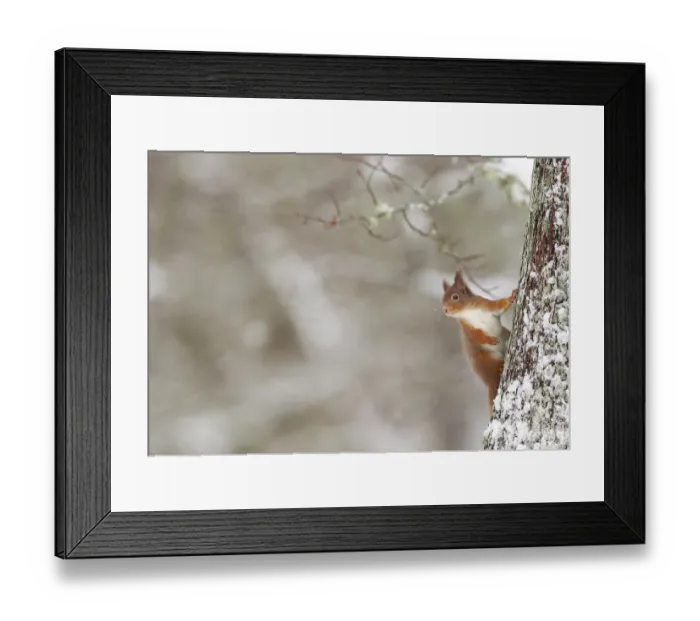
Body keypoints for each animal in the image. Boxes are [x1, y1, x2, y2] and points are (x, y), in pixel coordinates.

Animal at [442, 269, 518, 419]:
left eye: (455, 297)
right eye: (442, 299)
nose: (445, 310)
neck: (468, 310)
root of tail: (488, 382)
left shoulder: (486, 305)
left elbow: (499, 306)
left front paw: (511, 297)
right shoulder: (467, 328)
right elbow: (477, 336)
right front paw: (489, 340)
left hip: (503, 338)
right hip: (486, 359)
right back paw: (500, 368)